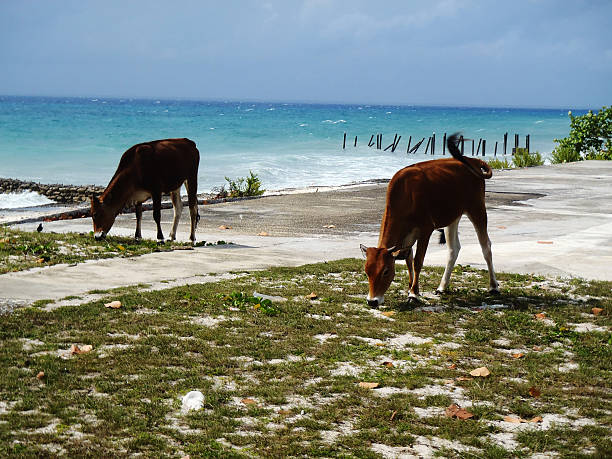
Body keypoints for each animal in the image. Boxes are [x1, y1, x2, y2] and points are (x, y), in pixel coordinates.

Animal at [360, 133, 500, 308]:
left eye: (385, 271)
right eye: (367, 271)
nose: (372, 301)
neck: (406, 195)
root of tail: (472, 160)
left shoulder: (426, 229)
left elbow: (418, 261)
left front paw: (413, 293)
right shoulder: (407, 237)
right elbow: (408, 259)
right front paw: (411, 288)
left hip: (477, 208)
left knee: (486, 246)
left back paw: (493, 286)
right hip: (453, 217)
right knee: (453, 249)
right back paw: (442, 287)